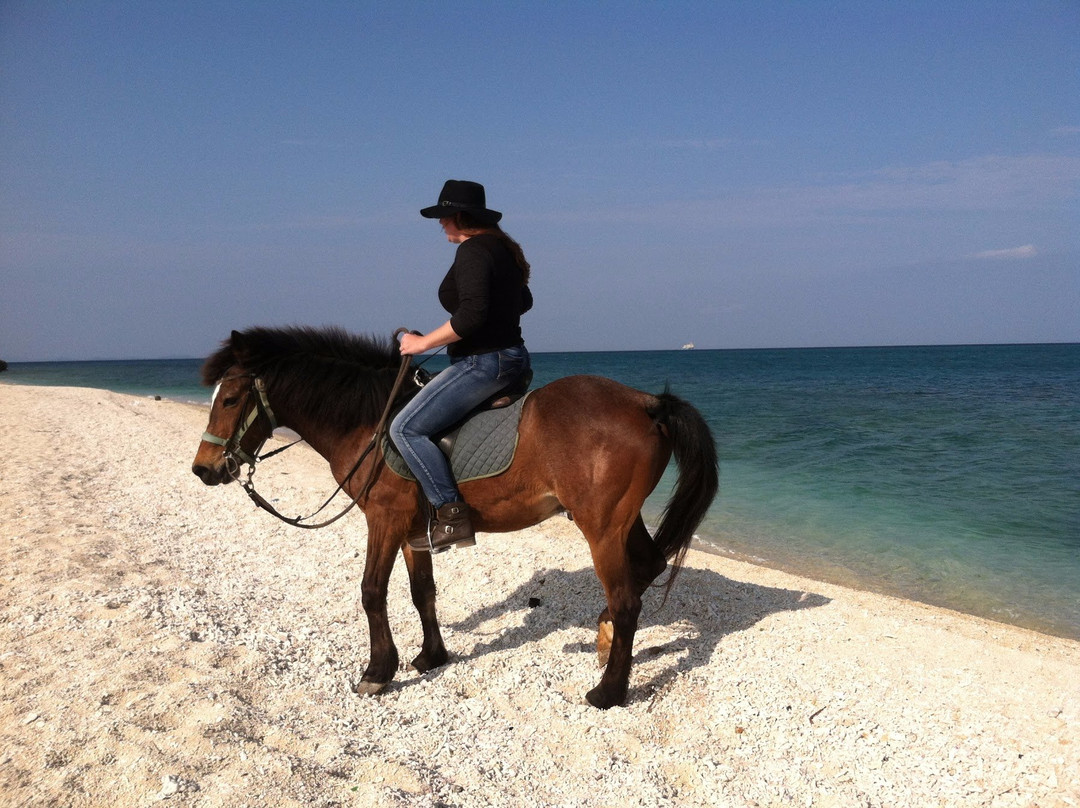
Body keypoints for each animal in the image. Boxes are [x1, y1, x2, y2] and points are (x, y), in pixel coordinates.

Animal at [191, 326, 718, 708]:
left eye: (231, 399)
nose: (204, 469)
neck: (370, 420)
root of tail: (648, 403)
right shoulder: (411, 531)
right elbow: (421, 592)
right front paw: (430, 657)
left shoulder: (383, 520)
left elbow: (371, 592)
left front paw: (377, 672)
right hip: (621, 521)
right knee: (647, 567)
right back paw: (605, 635)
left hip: (601, 527)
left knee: (628, 599)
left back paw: (609, 691)